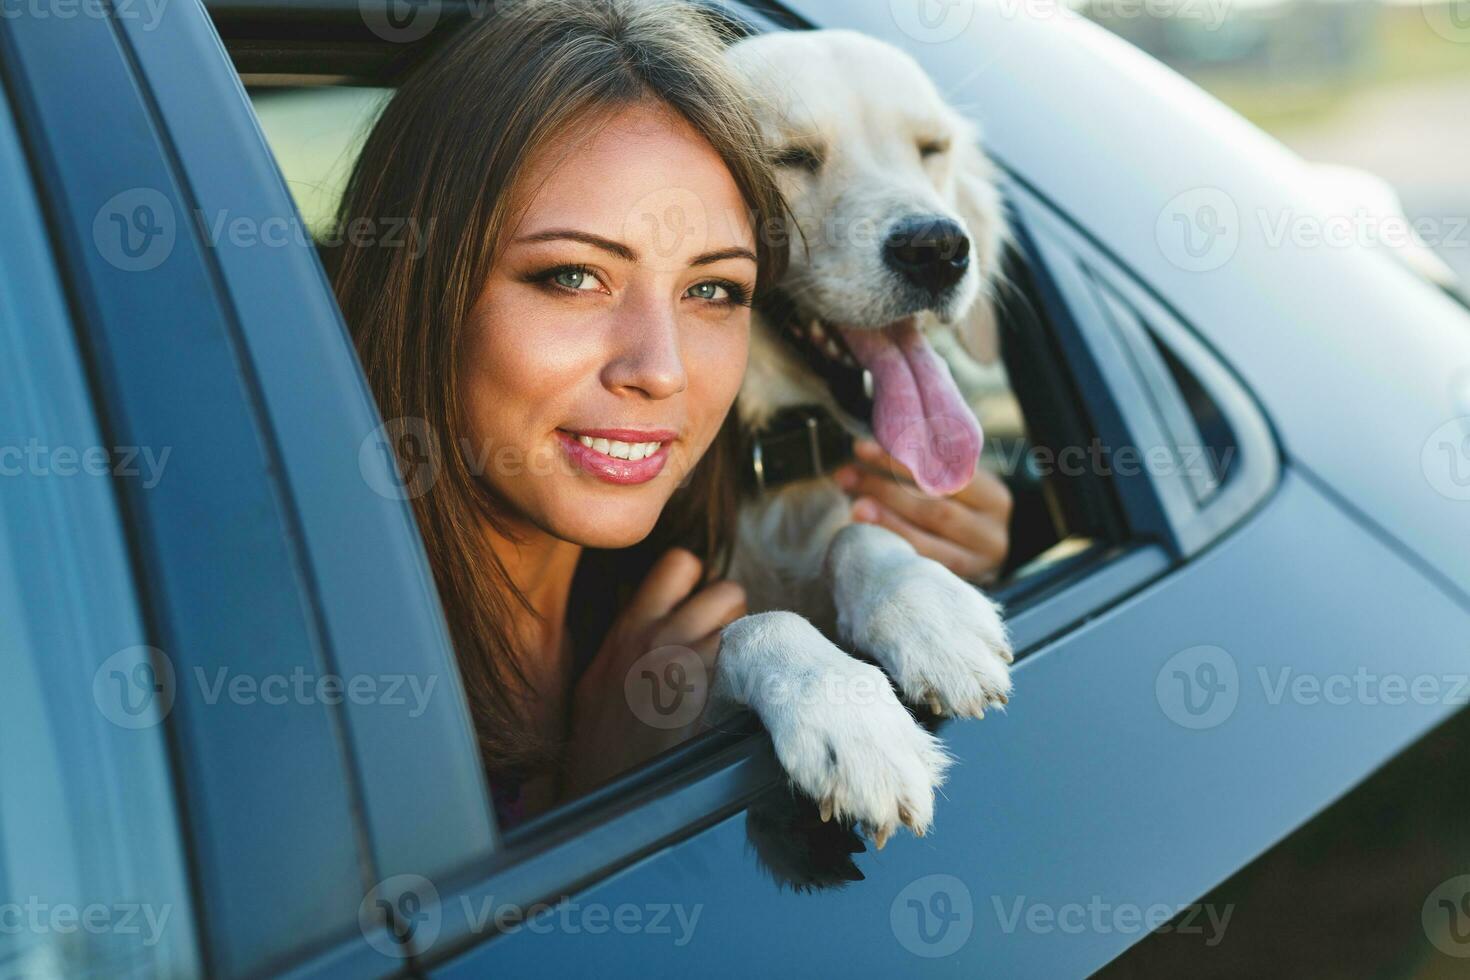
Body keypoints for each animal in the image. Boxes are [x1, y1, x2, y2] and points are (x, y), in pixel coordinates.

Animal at [708, 32, 1011, 852]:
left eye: (932, 148)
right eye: (790, 157)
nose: (937, 248)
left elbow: (860, 537)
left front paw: (931, 610)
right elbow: (752, 622)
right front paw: (849, 717)